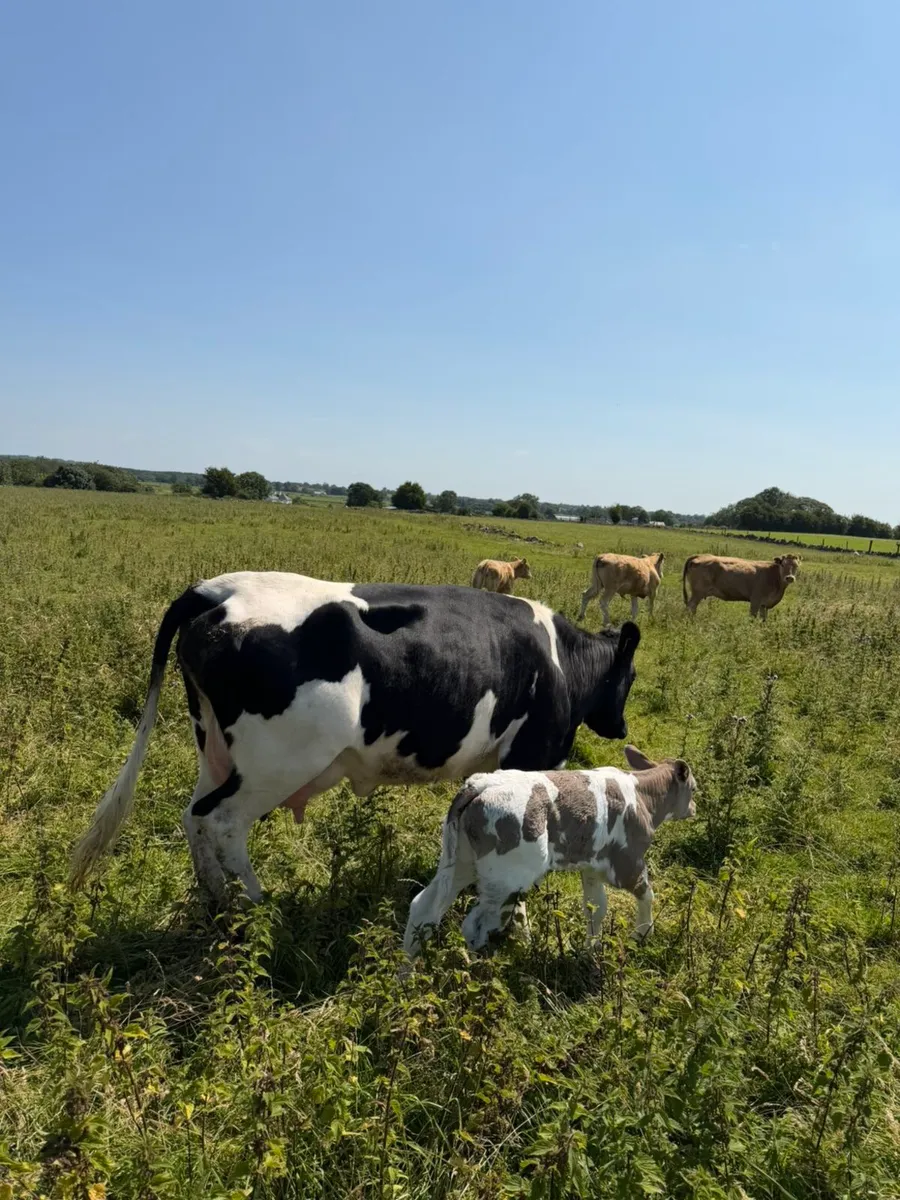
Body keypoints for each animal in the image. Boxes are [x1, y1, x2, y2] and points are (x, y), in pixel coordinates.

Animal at [70, 572, 641, 905]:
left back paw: (216, 898)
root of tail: (215, 590)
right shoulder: (529, 757)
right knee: (222, 822)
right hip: (274, 765)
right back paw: (254, 900)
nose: (622, 727)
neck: (562, 660)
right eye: (631, 677)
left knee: (192, 816)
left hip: (213, 746)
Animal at [403, 745, 697, 959]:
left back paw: (407, 972)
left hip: (460, 862)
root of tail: (480, 784)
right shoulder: (627, 862)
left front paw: (591, 951)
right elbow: (647, 894)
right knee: (476, 926)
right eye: (693, 788)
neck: (642, 796)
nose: (693, 809)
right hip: (506, 880)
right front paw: (642, 935)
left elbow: (596, 908)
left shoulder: (591, 867)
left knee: (422, 908)